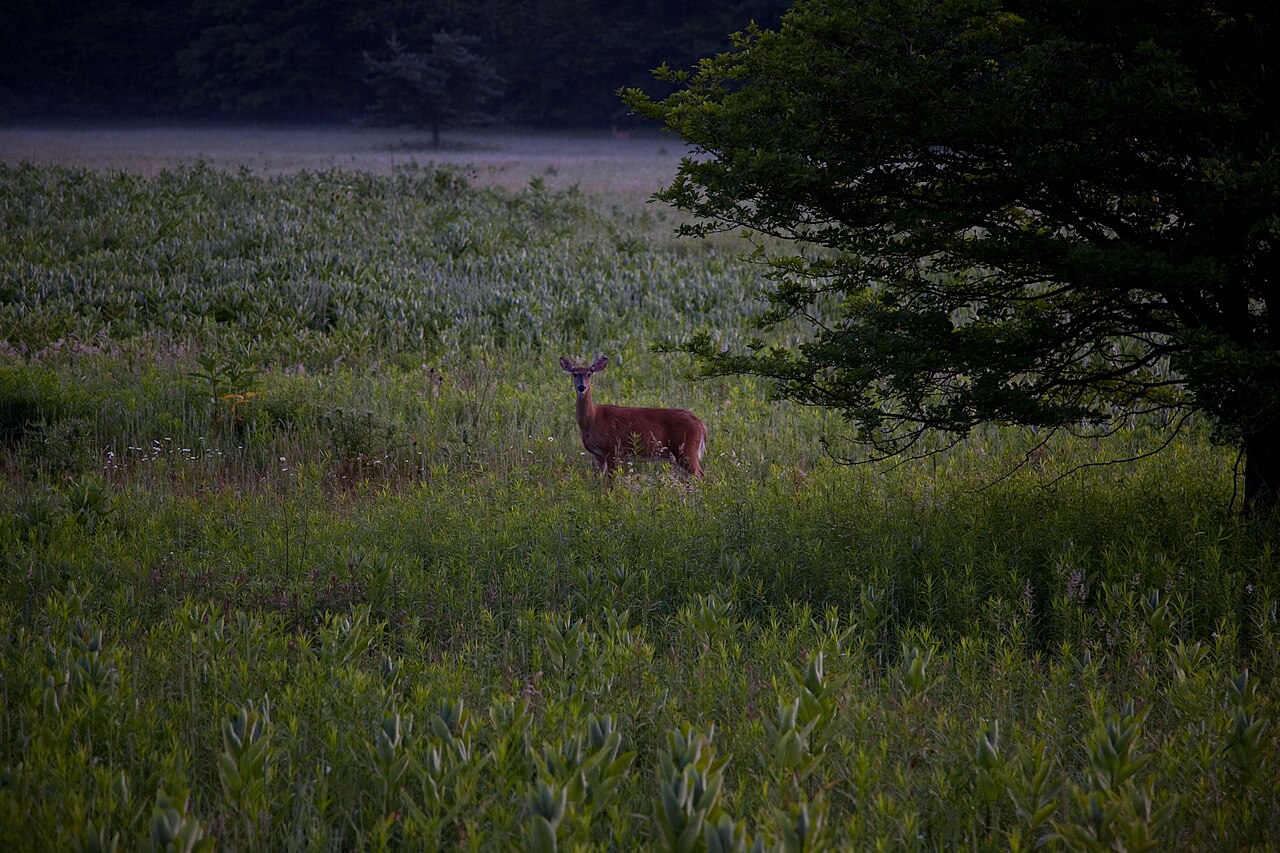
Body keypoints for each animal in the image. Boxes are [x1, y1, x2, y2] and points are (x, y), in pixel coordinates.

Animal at [559, 354, 706, 479]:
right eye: (575, 374)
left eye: (589, 374)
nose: (581, 387)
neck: (592, 420)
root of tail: (701, 425)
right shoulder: (598, 455)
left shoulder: (613, 449)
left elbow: (611, 481)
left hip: (686, 449)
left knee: (700, 475)